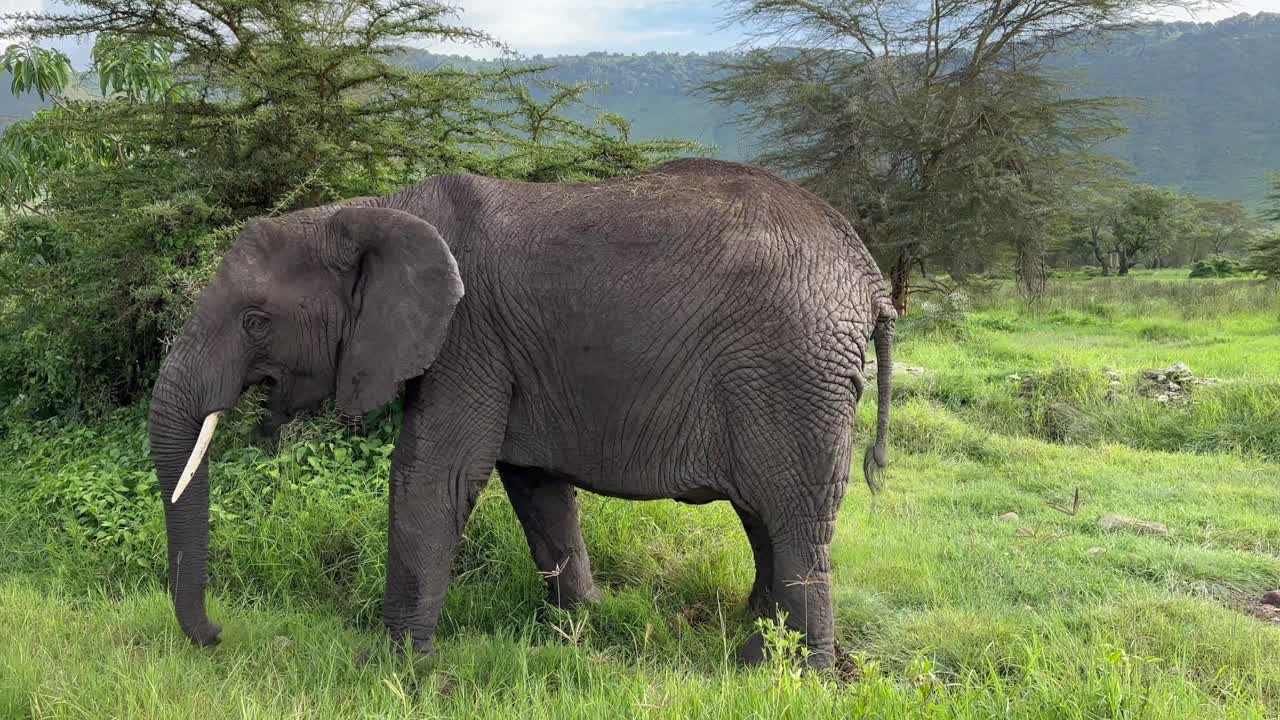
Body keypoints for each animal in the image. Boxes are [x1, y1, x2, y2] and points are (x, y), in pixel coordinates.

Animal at [149, 158, 896, 667]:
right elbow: (534, 486)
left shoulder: (467, 336)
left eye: (256, 321)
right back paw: (753, 640)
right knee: (763, 513)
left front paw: (399, 667)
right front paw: (581, 630)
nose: (217, 636)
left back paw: (783, 670)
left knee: (793, 515)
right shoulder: (505, 353)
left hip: (794, 372)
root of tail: (870, 277)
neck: (374, 210)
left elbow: (433, 477)